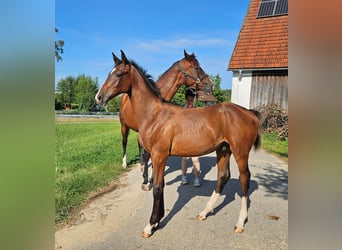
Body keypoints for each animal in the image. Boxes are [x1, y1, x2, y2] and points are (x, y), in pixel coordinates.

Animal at [119, 50, 212, 191]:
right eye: (196, 67)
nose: (210, 85)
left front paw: (151, 178)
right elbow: (147, 155)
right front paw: (146, 181)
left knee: (139, 145)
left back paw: (141, 166)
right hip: (124, 126)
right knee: (124, 142)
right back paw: (125, 164)